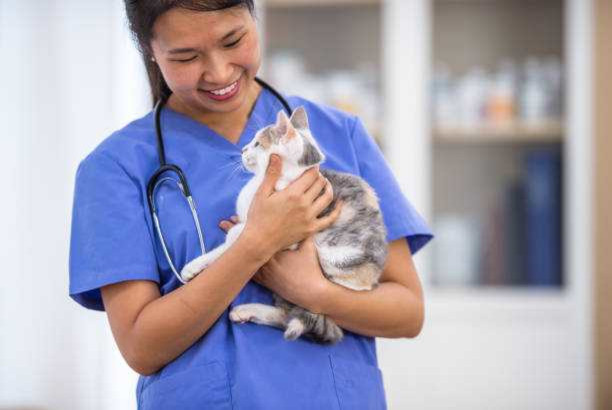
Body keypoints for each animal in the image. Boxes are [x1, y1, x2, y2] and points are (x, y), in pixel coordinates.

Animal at [179, 105, 388, 342]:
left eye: (257, 144)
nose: (242, 149)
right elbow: (225, 247)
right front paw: (195, 266)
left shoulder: (290, 237)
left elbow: (240, 233)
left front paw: (231, 238)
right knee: (286, 314)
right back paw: (246, 311)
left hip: (335, 260)